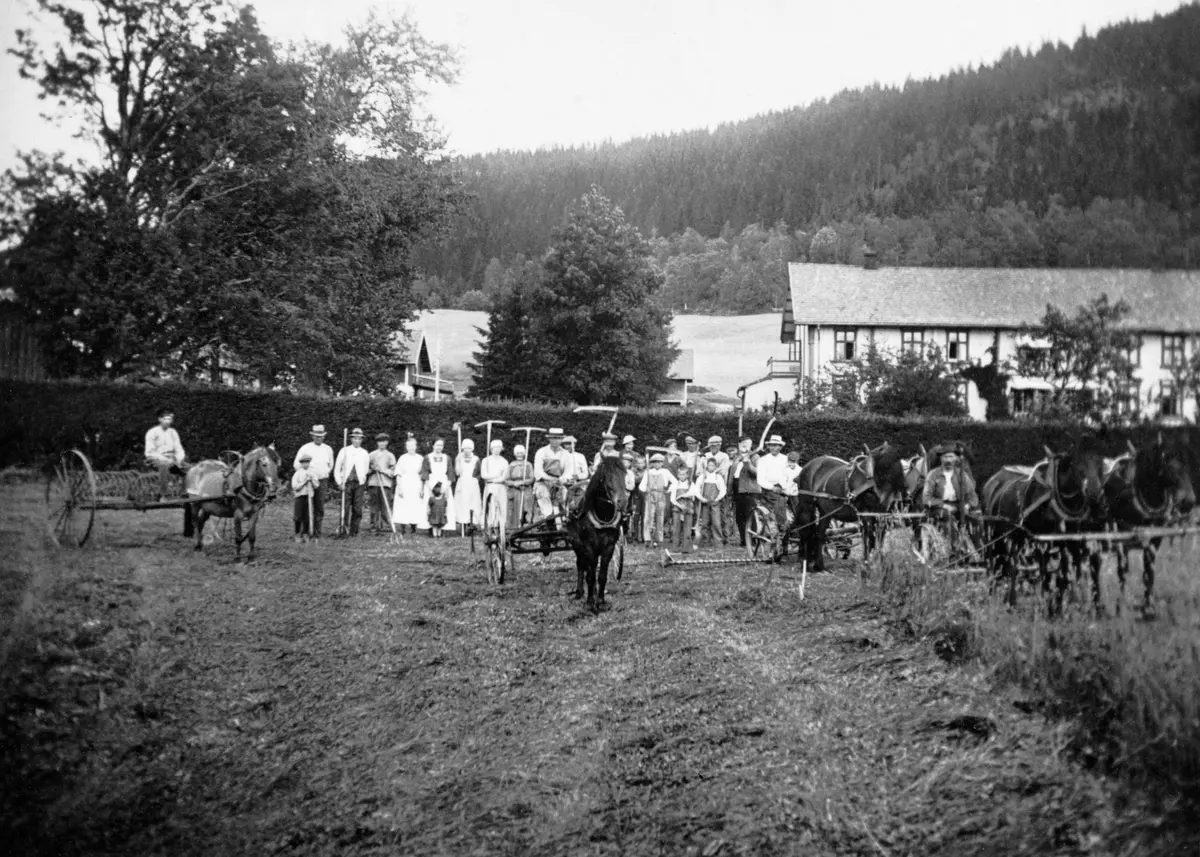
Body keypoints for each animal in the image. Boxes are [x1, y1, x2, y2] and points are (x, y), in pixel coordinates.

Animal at [566, 458, 633, 609]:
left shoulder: (609, 546)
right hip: (576, 543)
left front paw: (601, 600)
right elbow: (590, 575)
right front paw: (590, 601)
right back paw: (579, 592)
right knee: (580, 565)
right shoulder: (587, 546)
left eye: (624, 475)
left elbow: (602, 575)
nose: (623, 501)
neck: (603, 513)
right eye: (606, 477)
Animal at [796, 436, 902, 571]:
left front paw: (878, 563)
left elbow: (879, 538)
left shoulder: (883, 516)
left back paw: (819, 565)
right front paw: (867, 564)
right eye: (886, 466)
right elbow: (869, 538)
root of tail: (809, 465)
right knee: (806, 530)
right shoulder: (865, 514)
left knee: (820, 533)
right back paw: (805, 561)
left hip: (825, 510)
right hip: (807, 505)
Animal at [974, 436, 1104, 609]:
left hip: (1015, 536)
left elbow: (1069, 572)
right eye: (1078, 465)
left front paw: (1069, 602)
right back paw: (999, 597)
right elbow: (1048, 573)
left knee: (1011, 565)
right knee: (998, 565)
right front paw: (1049, 604)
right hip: (994, 535)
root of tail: (993, 480)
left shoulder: (1071, 540)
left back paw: (1008, 598)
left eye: (1100, 463)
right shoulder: (1042, 540)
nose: (1096, 495)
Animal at [1099, 434, 1195, 614]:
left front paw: (1148, 604)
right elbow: (1123, 570)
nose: (1189, 501)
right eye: (1166, 461)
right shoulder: (1121, 537)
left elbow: (1149, 569)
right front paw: (1121, 605)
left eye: (1187, 461)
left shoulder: (1155, 537)